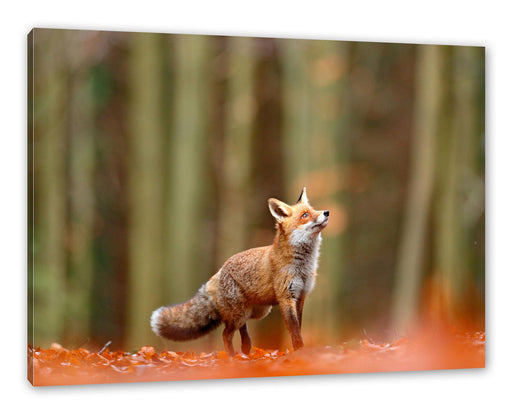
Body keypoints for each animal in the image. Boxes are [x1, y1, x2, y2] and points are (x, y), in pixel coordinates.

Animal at [150, 188, 330, 356]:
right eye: (305, 215)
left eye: (313, 209)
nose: (326, 212)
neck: (303, 266)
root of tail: (220, 270)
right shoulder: (286, 297)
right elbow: (294, 330)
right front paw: (300, 351)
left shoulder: (301, 296)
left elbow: (298, 326)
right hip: (241, 314)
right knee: (226, 334)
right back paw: (232, 358)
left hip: (255, 311)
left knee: (242, 329)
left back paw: (246, 349)